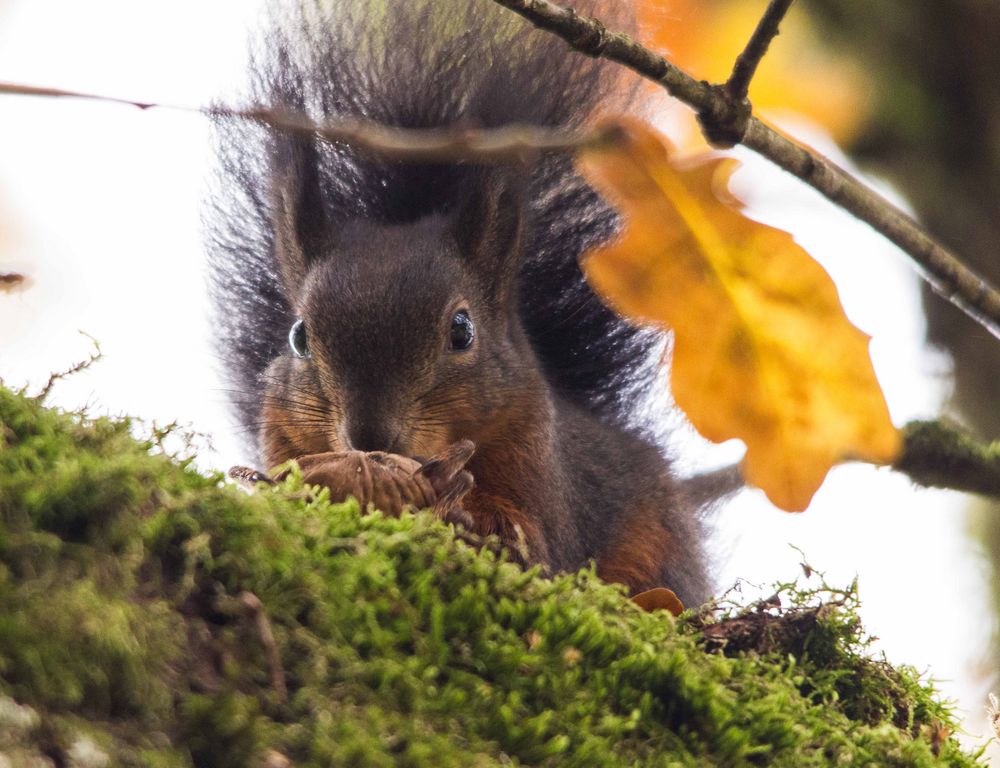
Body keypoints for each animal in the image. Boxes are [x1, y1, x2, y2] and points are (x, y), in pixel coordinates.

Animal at [209, 0, 712, 608]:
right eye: (298, 336)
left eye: (462, 331)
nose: (368, 439)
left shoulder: (542, 474)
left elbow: (535, 547)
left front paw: (469, 516)